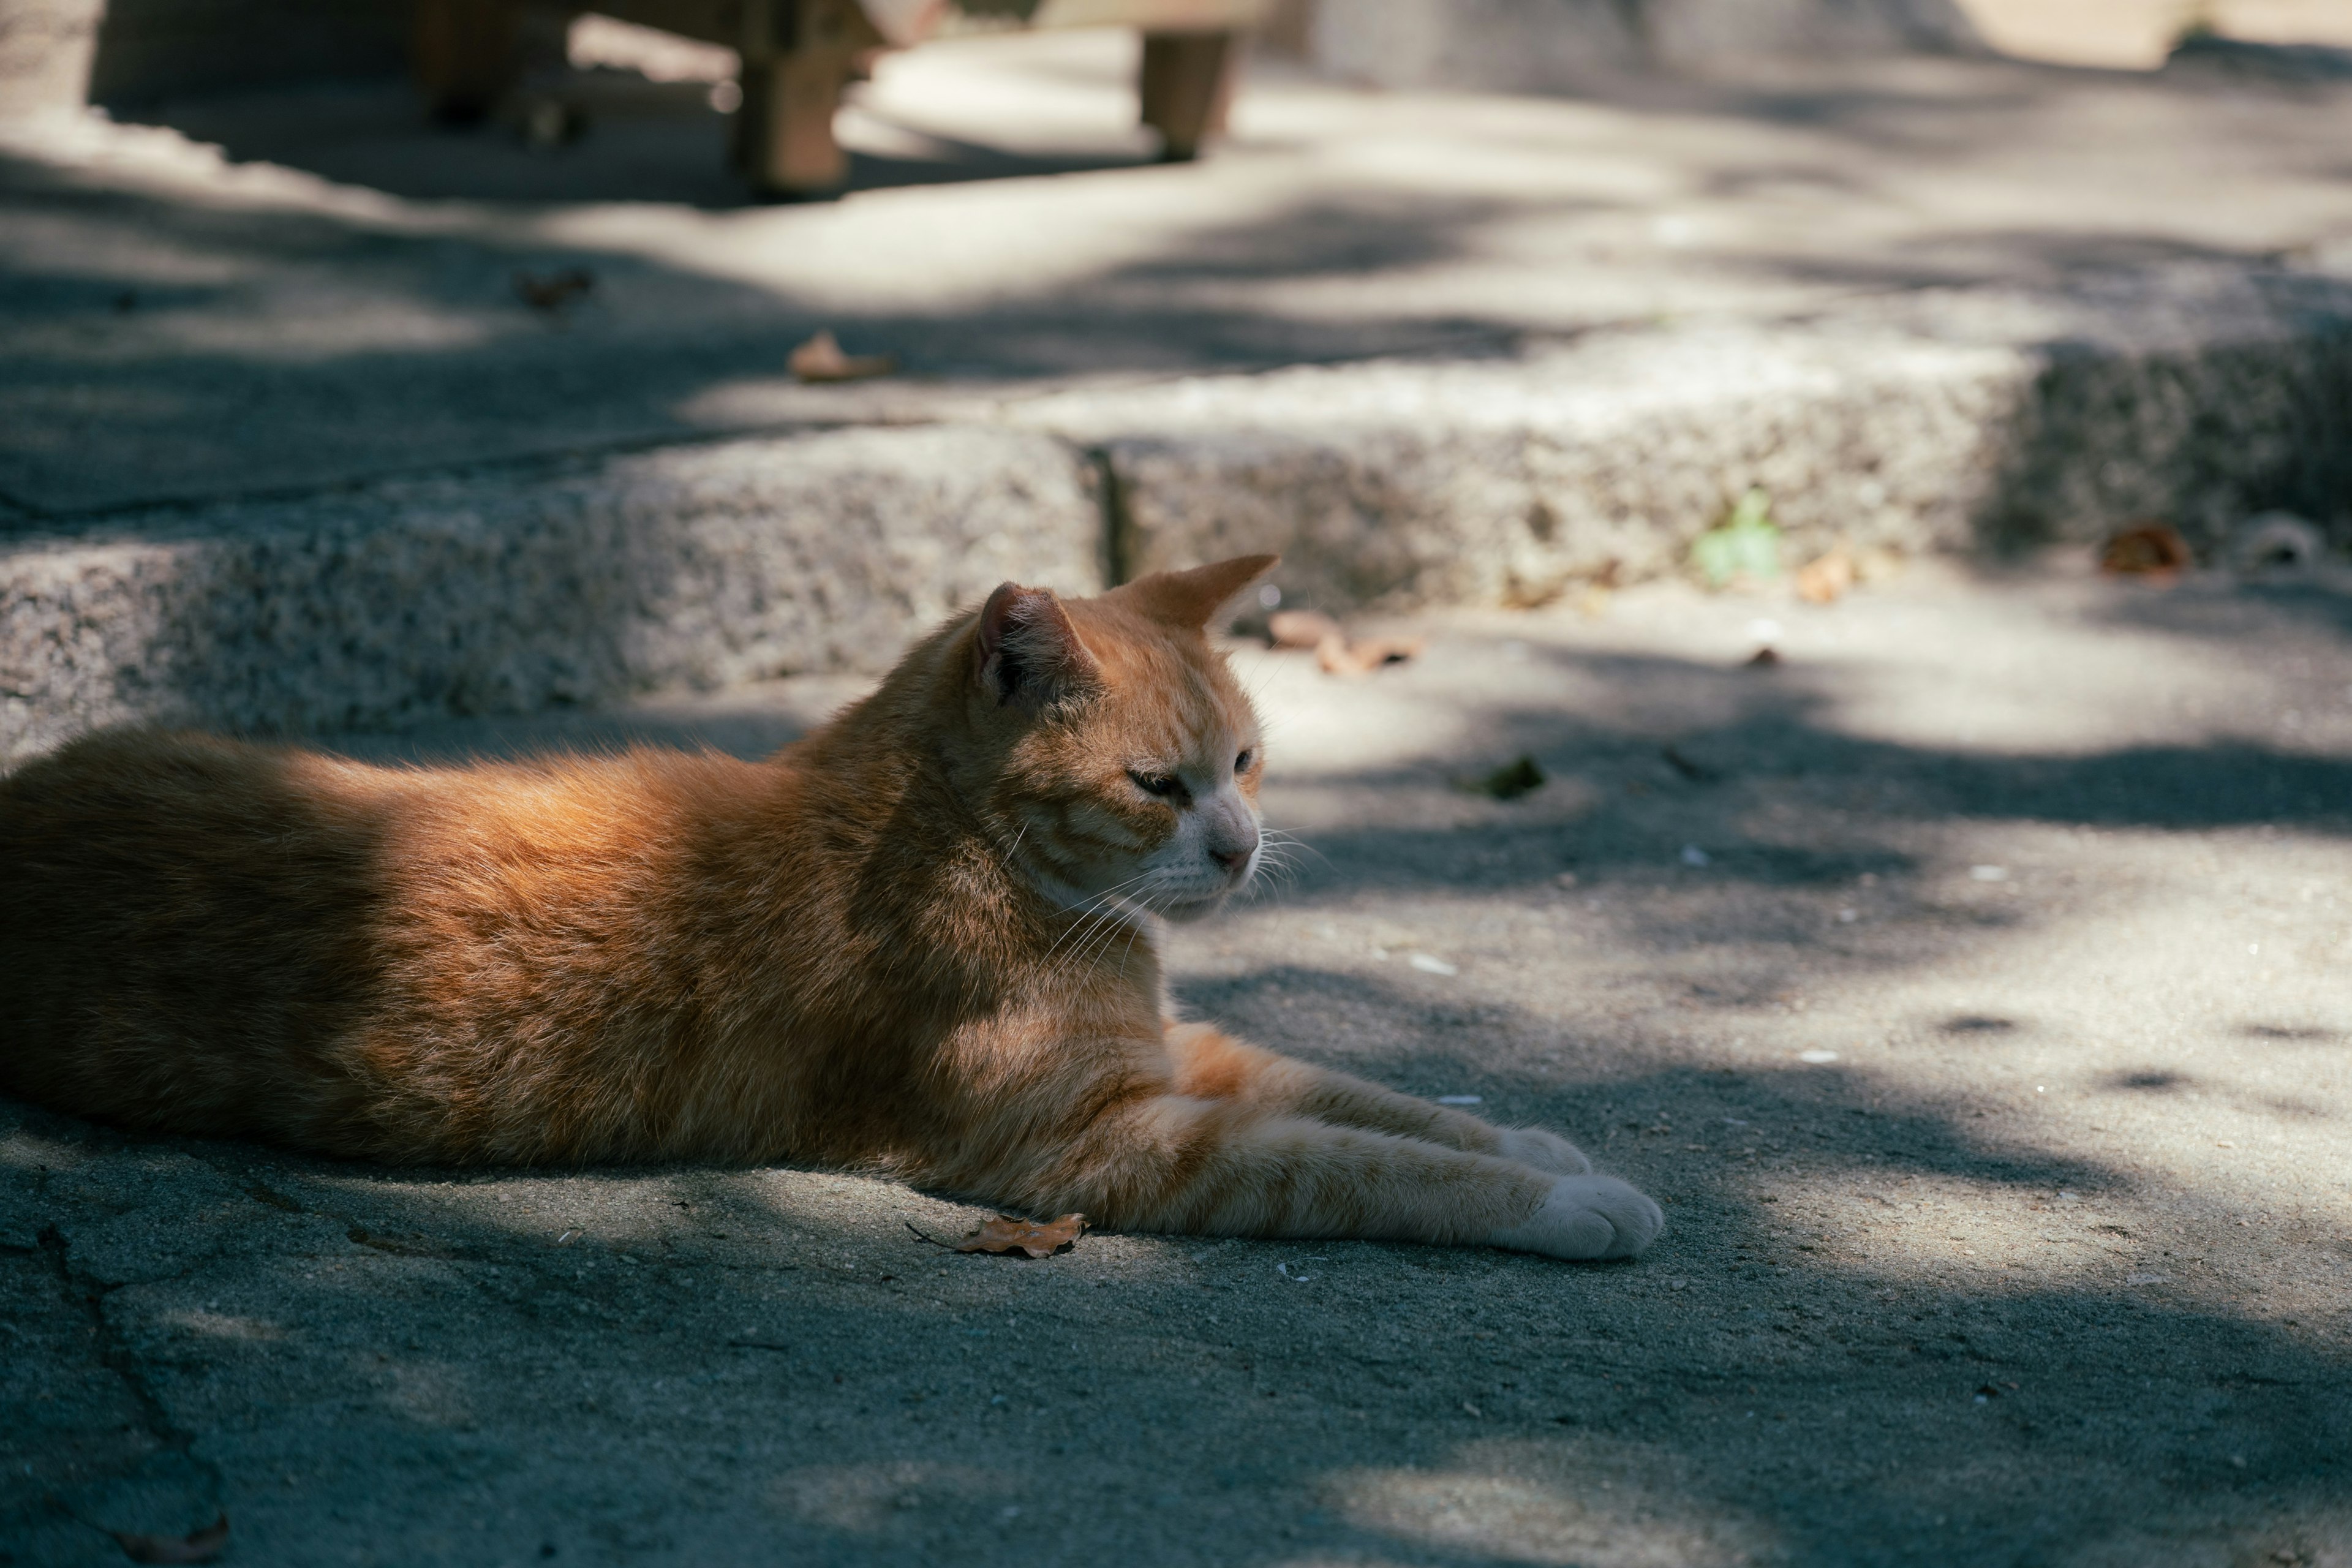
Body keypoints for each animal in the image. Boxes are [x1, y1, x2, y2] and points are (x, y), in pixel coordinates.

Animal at [0, 557, 1656, 1260]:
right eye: (1157, 783)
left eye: (1246, 761)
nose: (1243, 848)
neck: (955, 842)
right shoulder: (1093, 1145)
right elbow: (1356, 1161)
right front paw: (1566, 1202)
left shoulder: (1180, 1055)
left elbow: (1370, 1092)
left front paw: (1533, 1139)